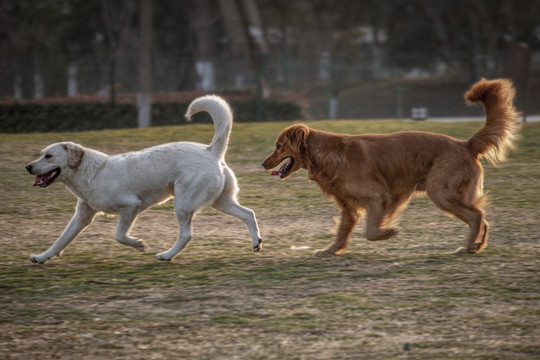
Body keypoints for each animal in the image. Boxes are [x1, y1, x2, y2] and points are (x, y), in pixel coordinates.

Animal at [25, 95, 262, 264]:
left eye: (49, 156)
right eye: (41, 154)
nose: (28, 167)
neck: (91, 173)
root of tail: (211, 151)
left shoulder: (130, 206)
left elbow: (119, 235)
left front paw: (139, 244)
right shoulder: (82, 217)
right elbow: (61, 240)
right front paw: (41, 257)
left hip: (183, 203)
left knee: (186, 234)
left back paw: (166, 255)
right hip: (220, 201)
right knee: (248, 214)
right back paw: (256, 243)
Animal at [262, 79, 520, 255]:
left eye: (279, 146)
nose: (263, 163)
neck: (328, 155)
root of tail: (466, 144)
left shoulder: (378, 197)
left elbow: (370, 231)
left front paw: (388, 232)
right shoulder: (349, 208)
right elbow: (342, 232)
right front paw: (331, 250)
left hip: (441, 193)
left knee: (477, 215)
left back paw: (467, 247)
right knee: (482, 218)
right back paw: (477, 246)